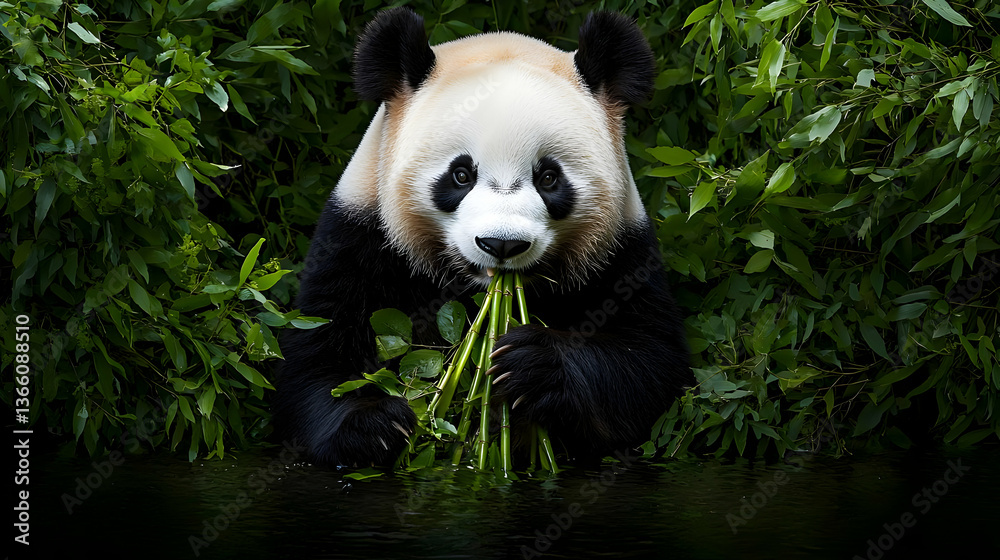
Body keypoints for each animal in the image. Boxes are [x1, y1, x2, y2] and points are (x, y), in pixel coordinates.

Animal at [275, 7, 690, 467]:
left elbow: (649, 362)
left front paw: (533, 364)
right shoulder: (361, 234)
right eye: (460, 174)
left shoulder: (621, 249)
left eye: (549, 177)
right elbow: (319, 354)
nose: (502, 244)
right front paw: (377, 427)